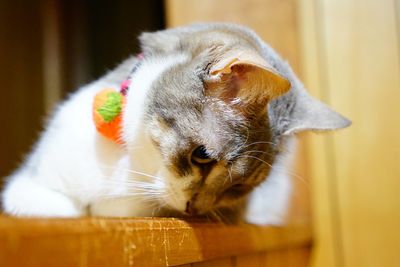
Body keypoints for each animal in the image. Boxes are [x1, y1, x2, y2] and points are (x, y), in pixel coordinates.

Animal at [0, 23, 350, 225]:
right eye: (202, 157)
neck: (128, 162)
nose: (194, 210)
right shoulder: (28, 185)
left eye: (239, 188)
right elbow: (55, 206)